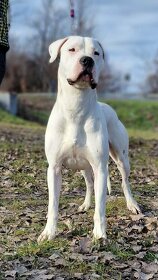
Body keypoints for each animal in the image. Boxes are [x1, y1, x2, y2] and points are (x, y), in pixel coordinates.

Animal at [37, 36, 141, 243]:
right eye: (71, 49)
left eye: (96, 53)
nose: (87, 60)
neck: (76, 106)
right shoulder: (54, 169)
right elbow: (53, 205)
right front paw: (49, 232)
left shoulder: (100, 168)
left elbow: (100, 208)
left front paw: (100, 234)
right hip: (84, 166)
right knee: (89, 184)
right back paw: (85, 204)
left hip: (121, 159)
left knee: (125, 182)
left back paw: (132, 204)